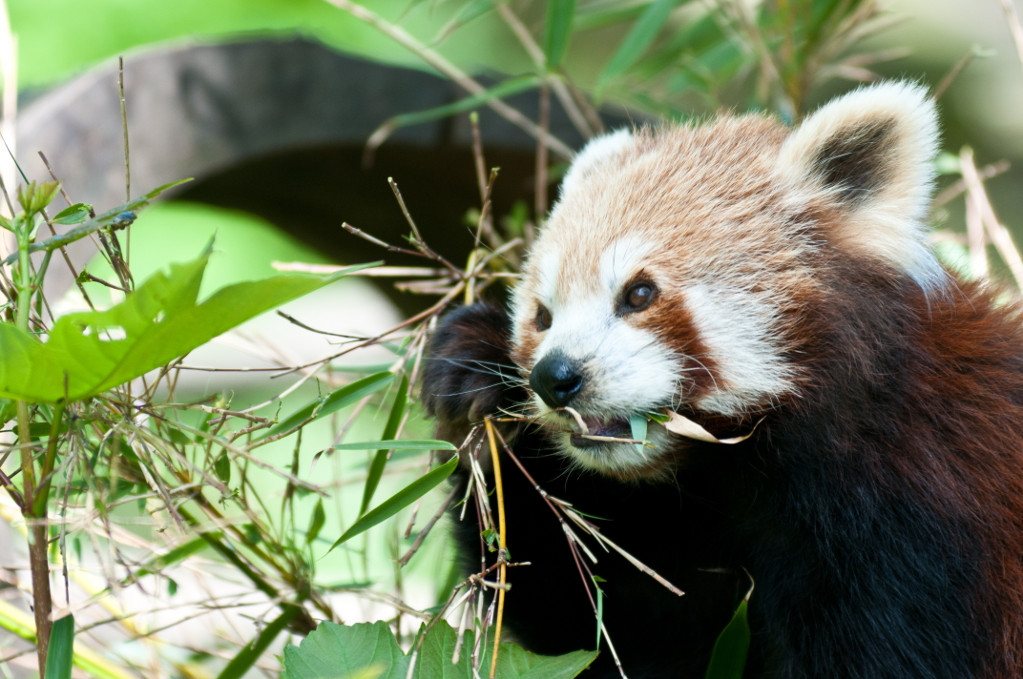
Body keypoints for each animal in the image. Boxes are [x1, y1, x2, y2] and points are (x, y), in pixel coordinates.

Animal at [421, 82, 1023, 678]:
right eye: (542, 317)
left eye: (639, 294)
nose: (554, 376)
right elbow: (610, 638)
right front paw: (469, 371)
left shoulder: (921, 519)